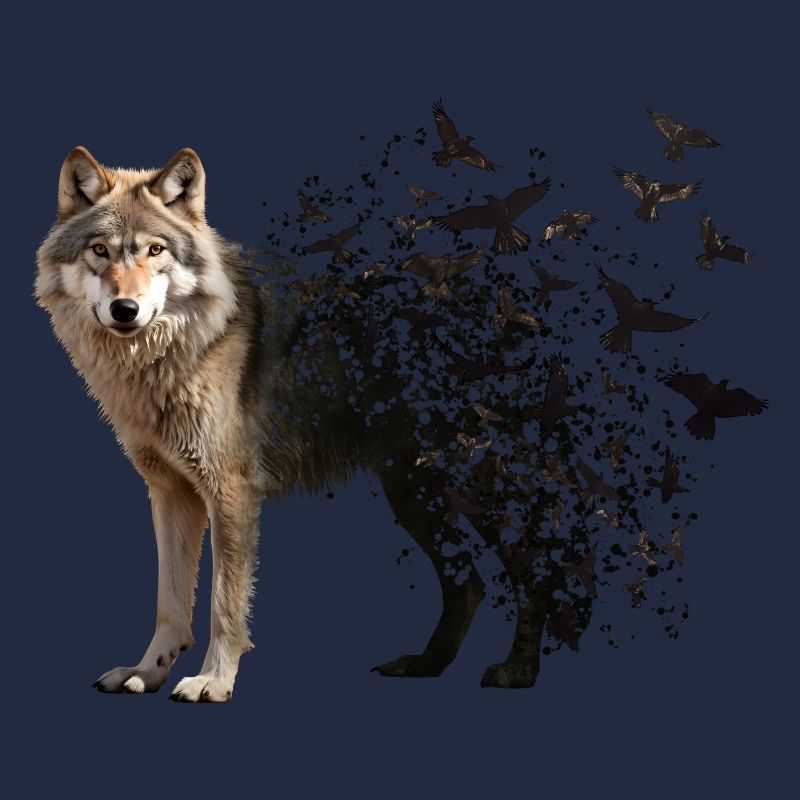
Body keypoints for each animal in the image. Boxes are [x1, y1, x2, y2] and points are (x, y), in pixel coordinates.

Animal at [35, 147, 564, 701]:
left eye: (155, 250)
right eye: (100, 250)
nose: (125, 309)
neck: (171, 354)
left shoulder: (232, 490)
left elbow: (224, 604)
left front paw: (213, 680)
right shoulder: (170, 492)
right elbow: (171, 604)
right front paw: (147, 671)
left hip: (472, 485)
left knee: (540, 566)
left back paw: (518, 672)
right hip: (414, 493)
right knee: (470, 585)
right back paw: (426, 665)